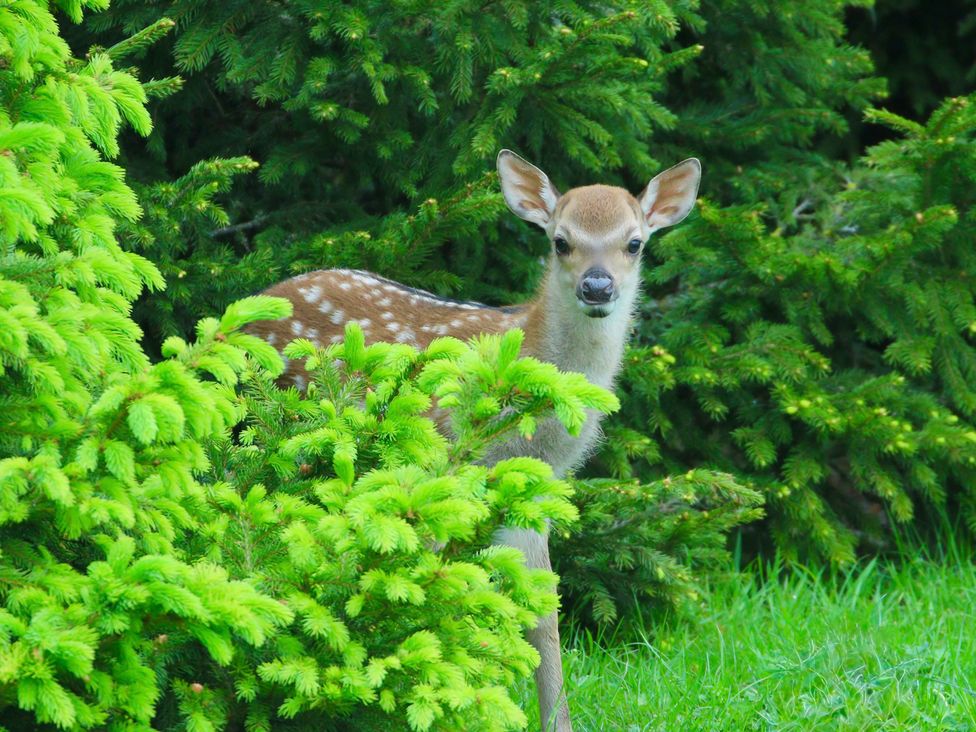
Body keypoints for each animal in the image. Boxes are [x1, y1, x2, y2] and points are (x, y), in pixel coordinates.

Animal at [248, 150, 701, 731]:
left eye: (635, 242)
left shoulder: (533, 491)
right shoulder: (443, 465)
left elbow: (542, 612)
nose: (597, 287)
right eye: (560, 241)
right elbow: (435, 588)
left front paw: (556, 721)